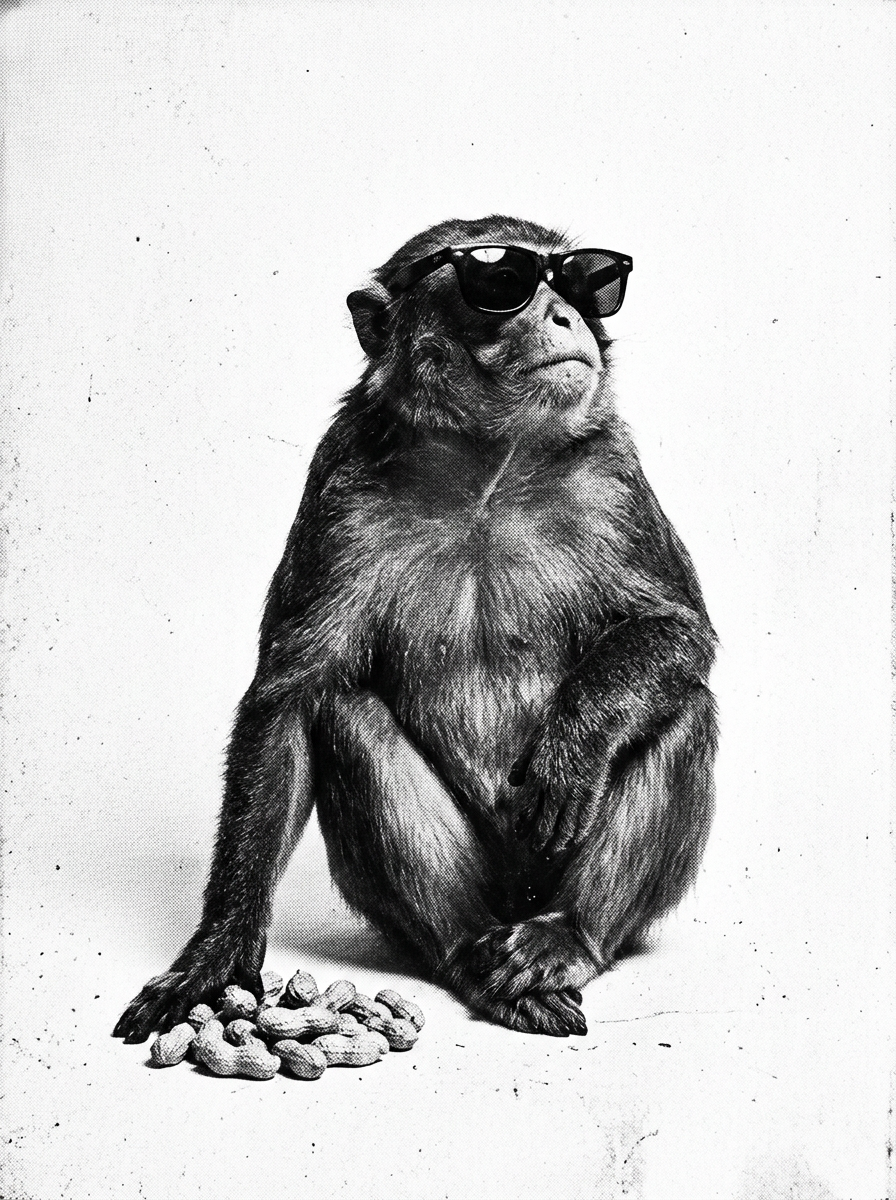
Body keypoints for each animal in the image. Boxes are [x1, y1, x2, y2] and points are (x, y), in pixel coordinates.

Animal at [113, 215, 717, 1042]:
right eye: (504, 282)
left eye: (585, 280)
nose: (566, 314)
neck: (487, 471)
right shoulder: (339, 486)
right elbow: (291, 697)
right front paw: (219, 948)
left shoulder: (614, 477)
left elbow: (677, 628)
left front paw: (574, 743)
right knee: (344, 713)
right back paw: (470, 952)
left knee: (684, 705)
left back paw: (565, 937)